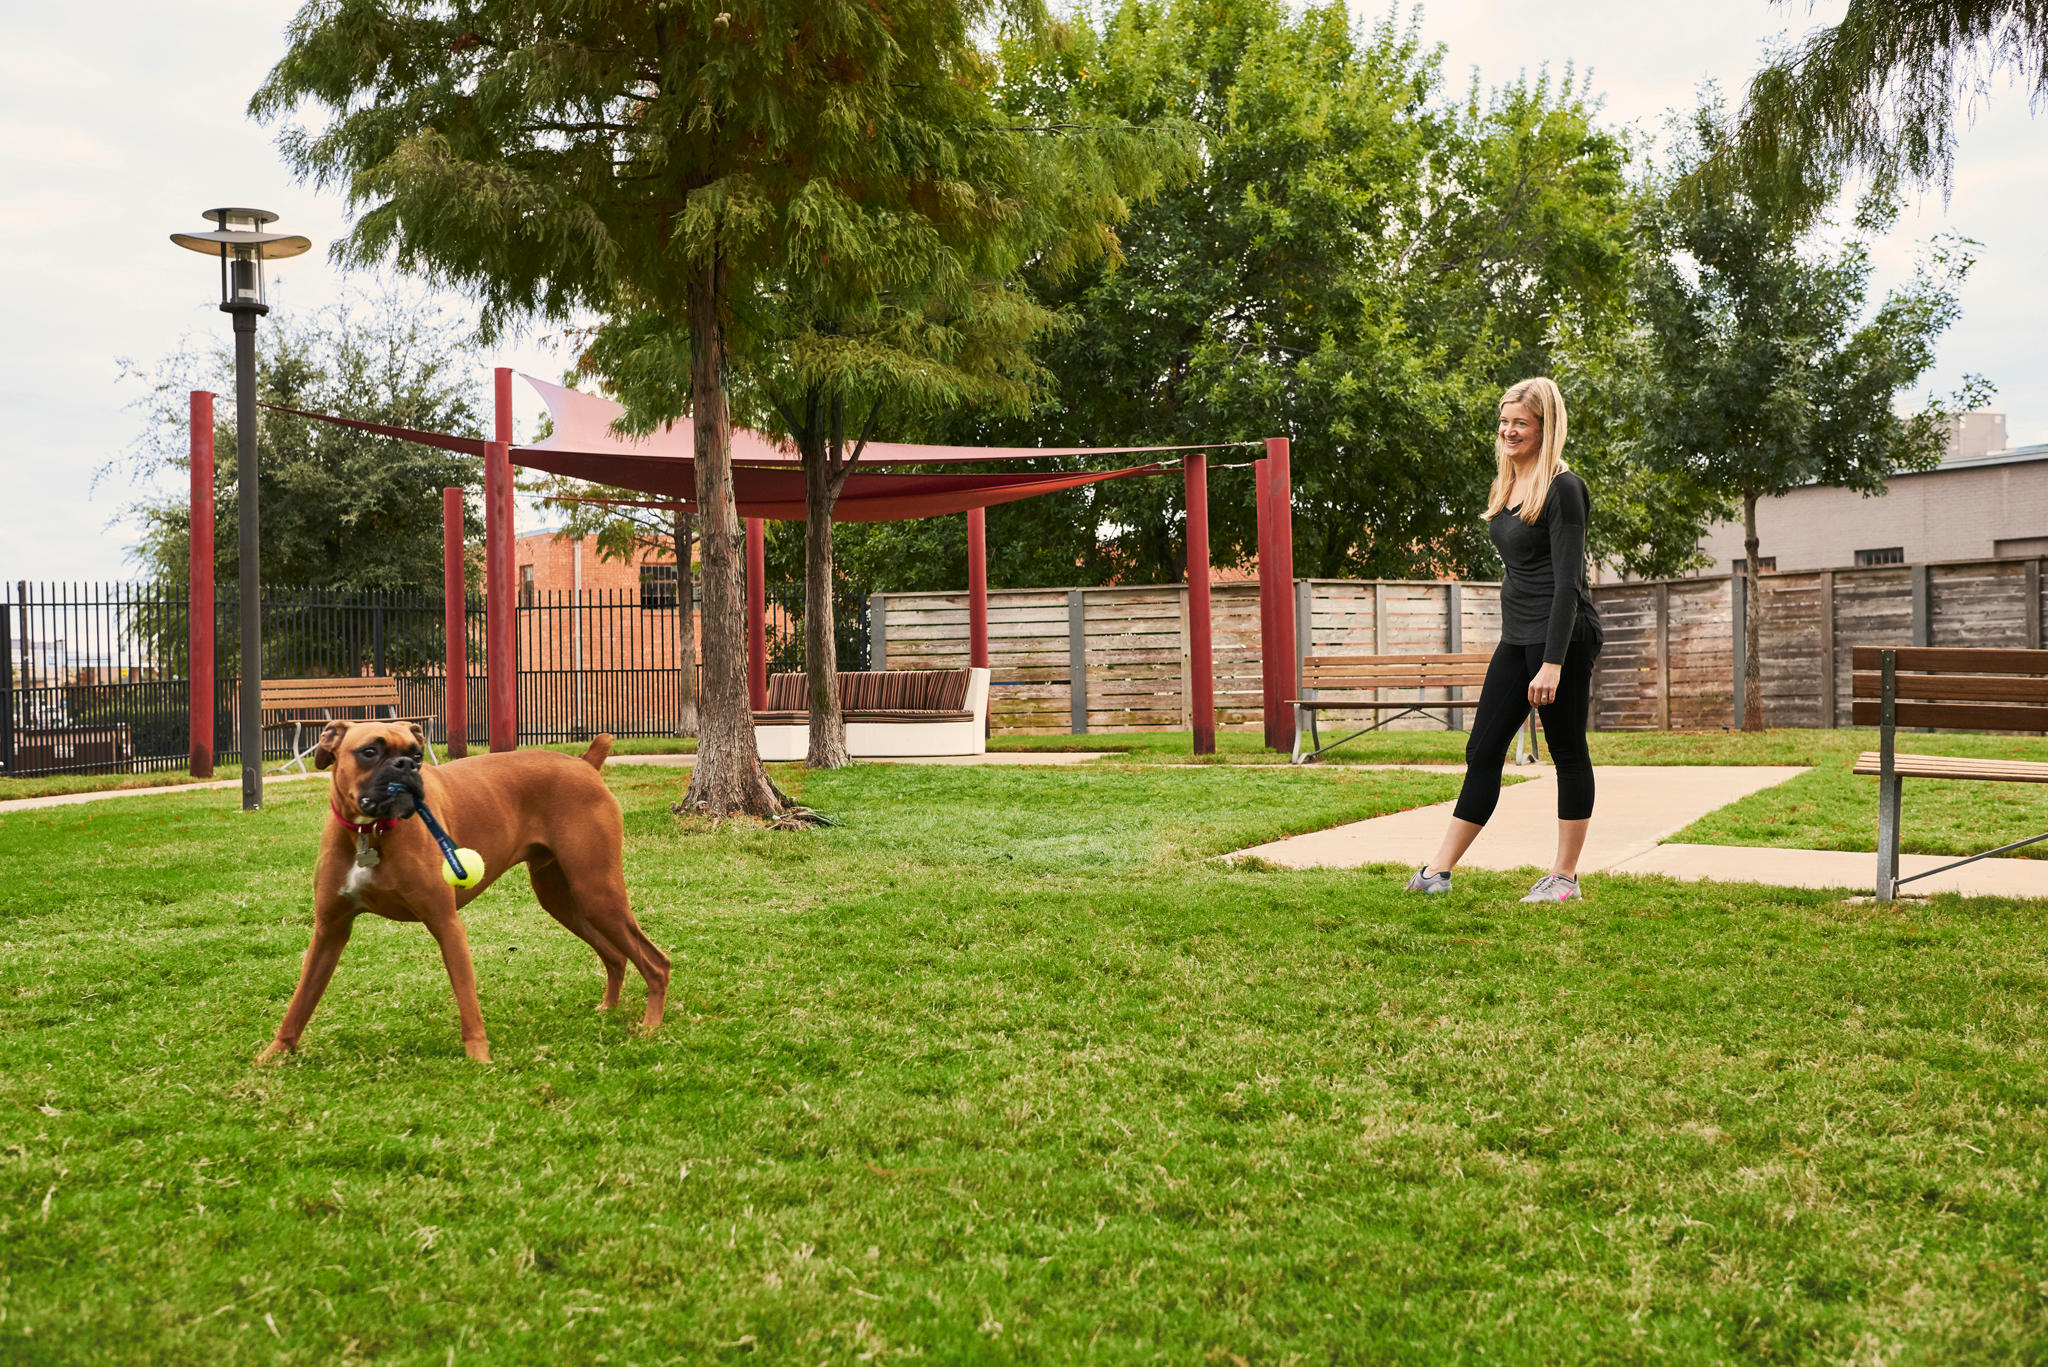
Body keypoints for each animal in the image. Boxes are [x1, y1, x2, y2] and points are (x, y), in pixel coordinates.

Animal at [254, 721, 671, 1065]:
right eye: (369, 751)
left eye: (417, 753)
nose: (408, 767)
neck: (369, 833)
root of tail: (585, 763)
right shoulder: (329, 931)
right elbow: (301, 1000)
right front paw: (274, 1054)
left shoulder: (446, 923)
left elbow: (468, 1001)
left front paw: (479, 1057)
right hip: (565, 900)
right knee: (617, 956)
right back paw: (609, 1008)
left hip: (597, 892)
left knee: (656, 961)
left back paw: (650, 1025)